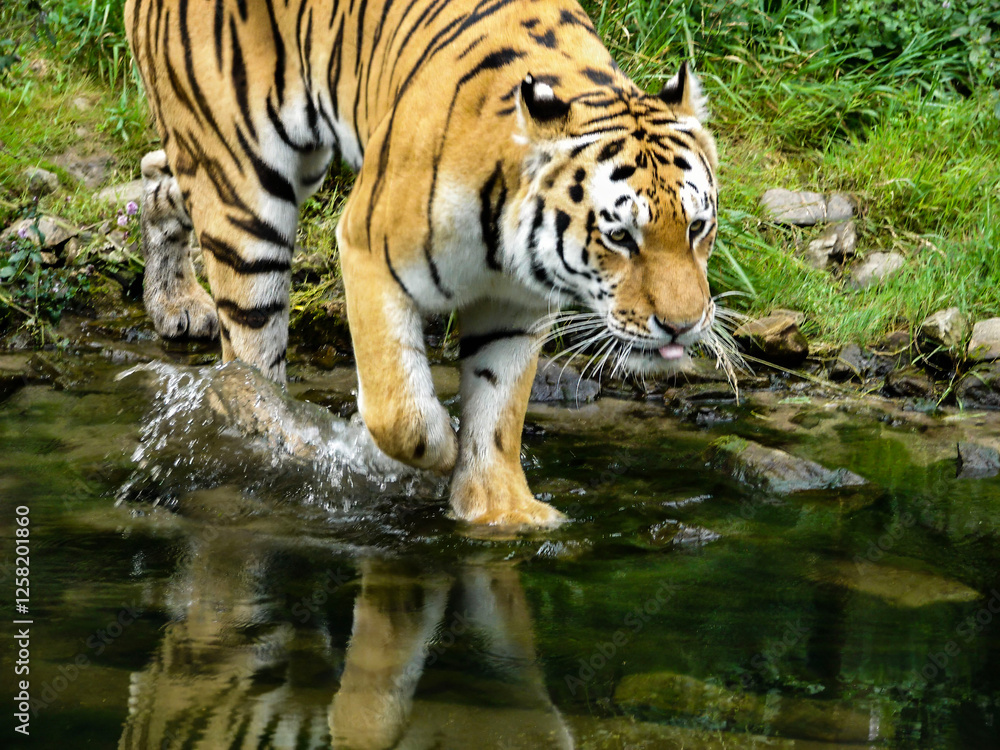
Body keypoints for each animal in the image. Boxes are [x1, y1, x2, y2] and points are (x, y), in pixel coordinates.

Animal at [124, 0, 724, 528]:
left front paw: (500, 509)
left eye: (697, 227)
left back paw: (175, 302)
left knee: (157, 175)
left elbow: (499, 408)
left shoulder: (516, 305)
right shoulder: (367, 249)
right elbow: (400, 413)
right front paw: (429, 458)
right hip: (246, 191)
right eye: (620, 237)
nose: (683, 325)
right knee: (249, 368)